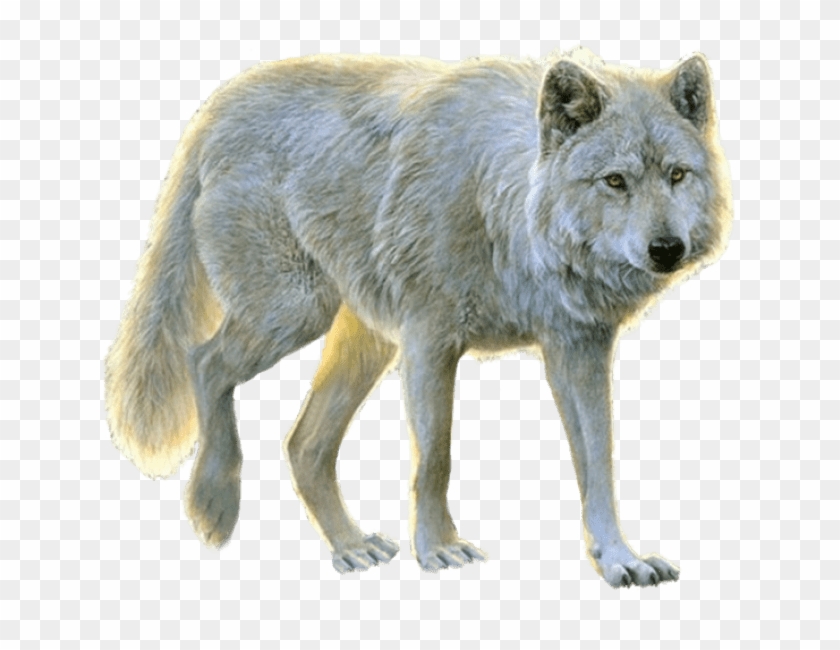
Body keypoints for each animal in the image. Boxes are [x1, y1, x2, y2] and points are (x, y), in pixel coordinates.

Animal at [104, 48, 731, 588]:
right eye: (615, 181)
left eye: (677, 175)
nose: (666, 249)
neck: (501, 208)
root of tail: (220, 106)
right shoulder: (431, 341)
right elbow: (436, 459)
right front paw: (437, 548)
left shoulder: (578, 348)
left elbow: (598, 463)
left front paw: (620, 559)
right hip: (294, 312)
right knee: (203, 361)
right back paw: (214, 504)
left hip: (363, 344)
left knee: (303, 445)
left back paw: (350, 546)